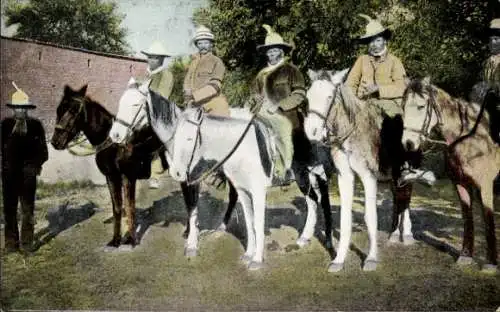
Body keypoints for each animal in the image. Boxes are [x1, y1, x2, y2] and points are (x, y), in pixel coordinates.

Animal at [304, 68, 414, 270]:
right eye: (308, 97)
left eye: (329, 96)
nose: (312, 132)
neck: (350, 135)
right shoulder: (344, 176)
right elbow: (345, 218)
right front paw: (339, 259)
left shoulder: (368, 177)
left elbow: (370, 217)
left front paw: (371, 258)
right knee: (398, 197)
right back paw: (394, 233)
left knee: (407, 195)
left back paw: (408, 234)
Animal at [402, 77, 500, 272]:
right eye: (403, 106)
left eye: (421, 106)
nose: (408, 143)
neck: (468, 138)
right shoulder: (460, 183)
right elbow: (467, 217)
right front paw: (465, 255)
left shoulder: (485, 186)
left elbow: (488, 219)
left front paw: (491, 263)